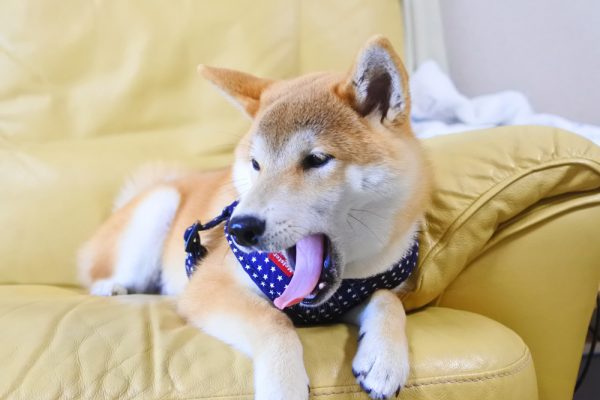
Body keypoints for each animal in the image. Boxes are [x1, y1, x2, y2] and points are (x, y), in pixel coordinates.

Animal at [79, 36, 432, 398]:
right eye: (255, 164)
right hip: (159, 205)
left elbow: (388, 299)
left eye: (317, 159)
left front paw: (384, 357)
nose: (238, 228)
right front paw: (284, 385)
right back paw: (111, 286)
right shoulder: (209, 287)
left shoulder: (354, 296)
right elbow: (274, 321)